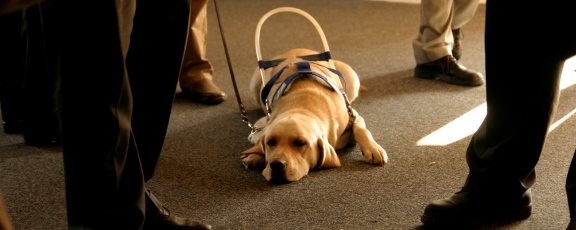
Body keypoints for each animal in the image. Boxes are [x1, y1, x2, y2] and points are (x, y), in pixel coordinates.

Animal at [241, 48, 390, 183]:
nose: (277, 165)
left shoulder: (353, 115)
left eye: (300, 143)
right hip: (255, 83)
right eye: (271, 142)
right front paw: (255, 155)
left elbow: (361, 130)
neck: (302, 107)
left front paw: (373, 148)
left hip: (352, 77)